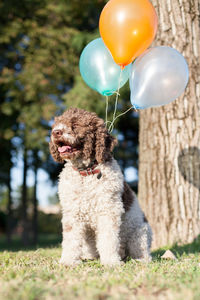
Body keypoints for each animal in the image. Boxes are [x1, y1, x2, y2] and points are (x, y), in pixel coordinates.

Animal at [49, 108, 152, 268]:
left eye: (76, 124)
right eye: (57, 124)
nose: (56, 132)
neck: (86, 173)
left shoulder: (108, 210)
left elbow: (108, 239)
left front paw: (110, 262)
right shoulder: (72, 213)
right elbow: (71, 239)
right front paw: (69, 261)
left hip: (140, 232)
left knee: (143, 252)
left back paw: (139, 259)